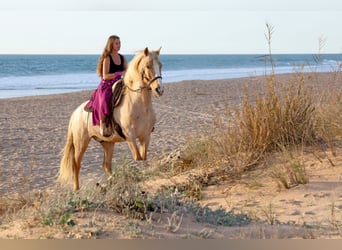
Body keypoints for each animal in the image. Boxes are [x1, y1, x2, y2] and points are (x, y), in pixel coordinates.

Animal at [58, 47, 164, 190]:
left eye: (160, 65)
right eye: (148, 66)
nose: (160, 89)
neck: (139, 104)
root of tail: (75, 113)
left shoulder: (145, 136)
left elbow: (143, 158)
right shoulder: (130, 136)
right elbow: (137, 158)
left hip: (107, 143)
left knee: (106, 165)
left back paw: (112, 180)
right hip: (81, 142)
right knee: (76, 164)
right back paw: (76, 189)